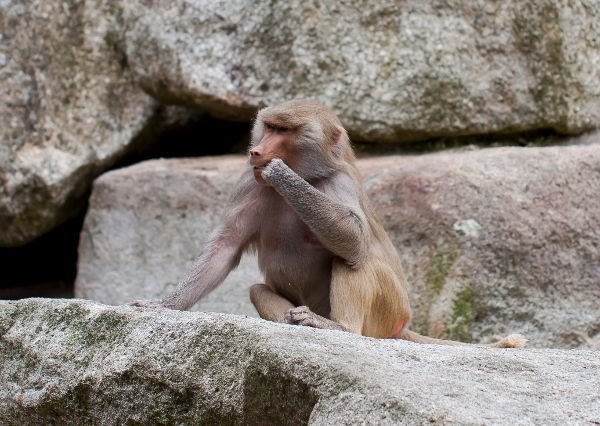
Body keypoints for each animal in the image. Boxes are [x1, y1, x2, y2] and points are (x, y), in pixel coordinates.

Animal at [130, 100, 524, 350]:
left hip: (388, 312)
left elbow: (354, 238)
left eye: (283, 130)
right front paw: (164, 304)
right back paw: (292, 321)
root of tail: (404, 324)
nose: (256, 152)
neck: (310, 174)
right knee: (258, 289)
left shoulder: (339, 183)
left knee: (353, 260)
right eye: (268, 127)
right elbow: (225, 247)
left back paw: (336, 327)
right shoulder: (248, 184)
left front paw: (280, 172)